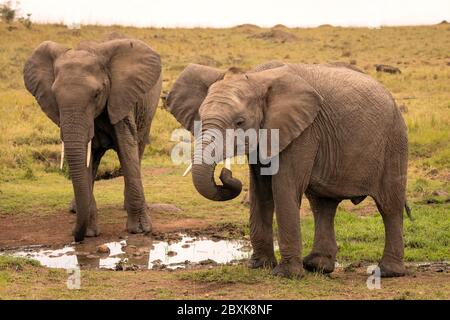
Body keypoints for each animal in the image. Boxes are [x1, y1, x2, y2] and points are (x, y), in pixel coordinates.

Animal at [23, 37, 163, 241]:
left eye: (97, 94)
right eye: (55, 97)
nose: (75, 236)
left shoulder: (120, 99)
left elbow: (127, 148)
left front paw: (140, 230)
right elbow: (85, 157)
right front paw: (90, 233)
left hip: (148, 110)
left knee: (139, 146)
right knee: (94, 158)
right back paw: (75, 209)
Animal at [167, 61, 410, 278]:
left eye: (240, 122)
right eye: (199, 118)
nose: (225, 174)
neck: (256, 77)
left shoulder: (304, 131)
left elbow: (284, 187)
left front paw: (285, 274)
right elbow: (261, 189)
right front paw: (259, 266)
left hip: (394, 141)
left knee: (389, 205)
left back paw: (388, 272)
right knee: (323, 205)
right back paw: (317, 267)